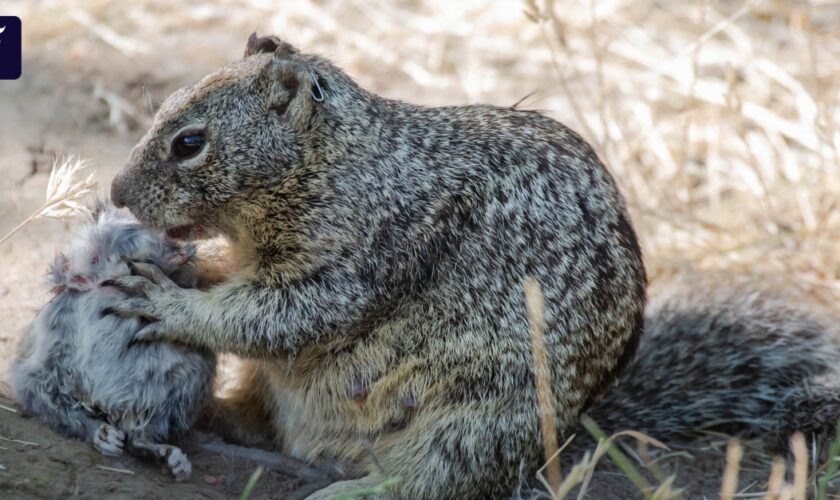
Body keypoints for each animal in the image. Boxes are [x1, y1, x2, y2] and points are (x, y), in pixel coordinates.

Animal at [11, 202, 215, 480]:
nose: (181, 245)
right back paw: (106, 436)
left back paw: (168, 457)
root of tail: (113, 406)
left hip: (183, 384)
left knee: (139, 434)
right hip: (44, 372)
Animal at [108, 34, 840, 496]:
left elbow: (277, 318)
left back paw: (351, 491)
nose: (115, 193)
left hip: (474, 425)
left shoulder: (361, 259)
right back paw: (218, 418)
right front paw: (187, 267)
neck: (342, 163)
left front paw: (169, 303)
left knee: (435, 484)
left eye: (190, 142)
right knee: (263, 422)